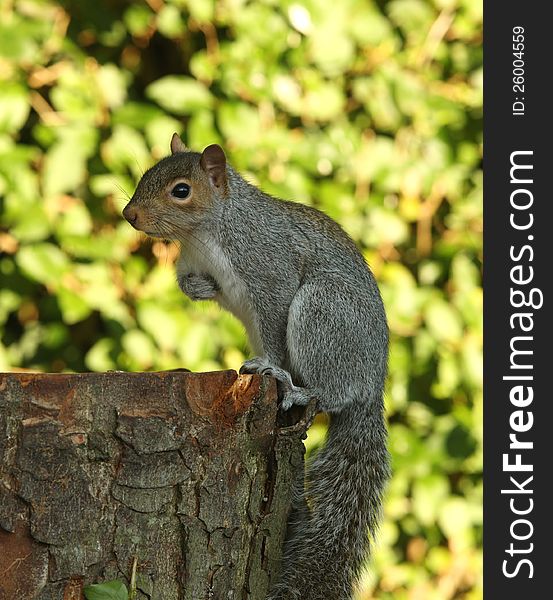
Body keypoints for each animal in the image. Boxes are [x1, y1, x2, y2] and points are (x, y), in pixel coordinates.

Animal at [123, 135, 390, 600]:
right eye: (146, 175)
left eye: (181, 190)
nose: (129, 214)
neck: (205, 235)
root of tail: (372, 389)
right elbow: (191, 285)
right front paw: (199, 287)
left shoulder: (271, 272)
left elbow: (274, 324)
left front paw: (269, 366)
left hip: (324, 314)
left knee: (334, 392)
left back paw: (297, 387)